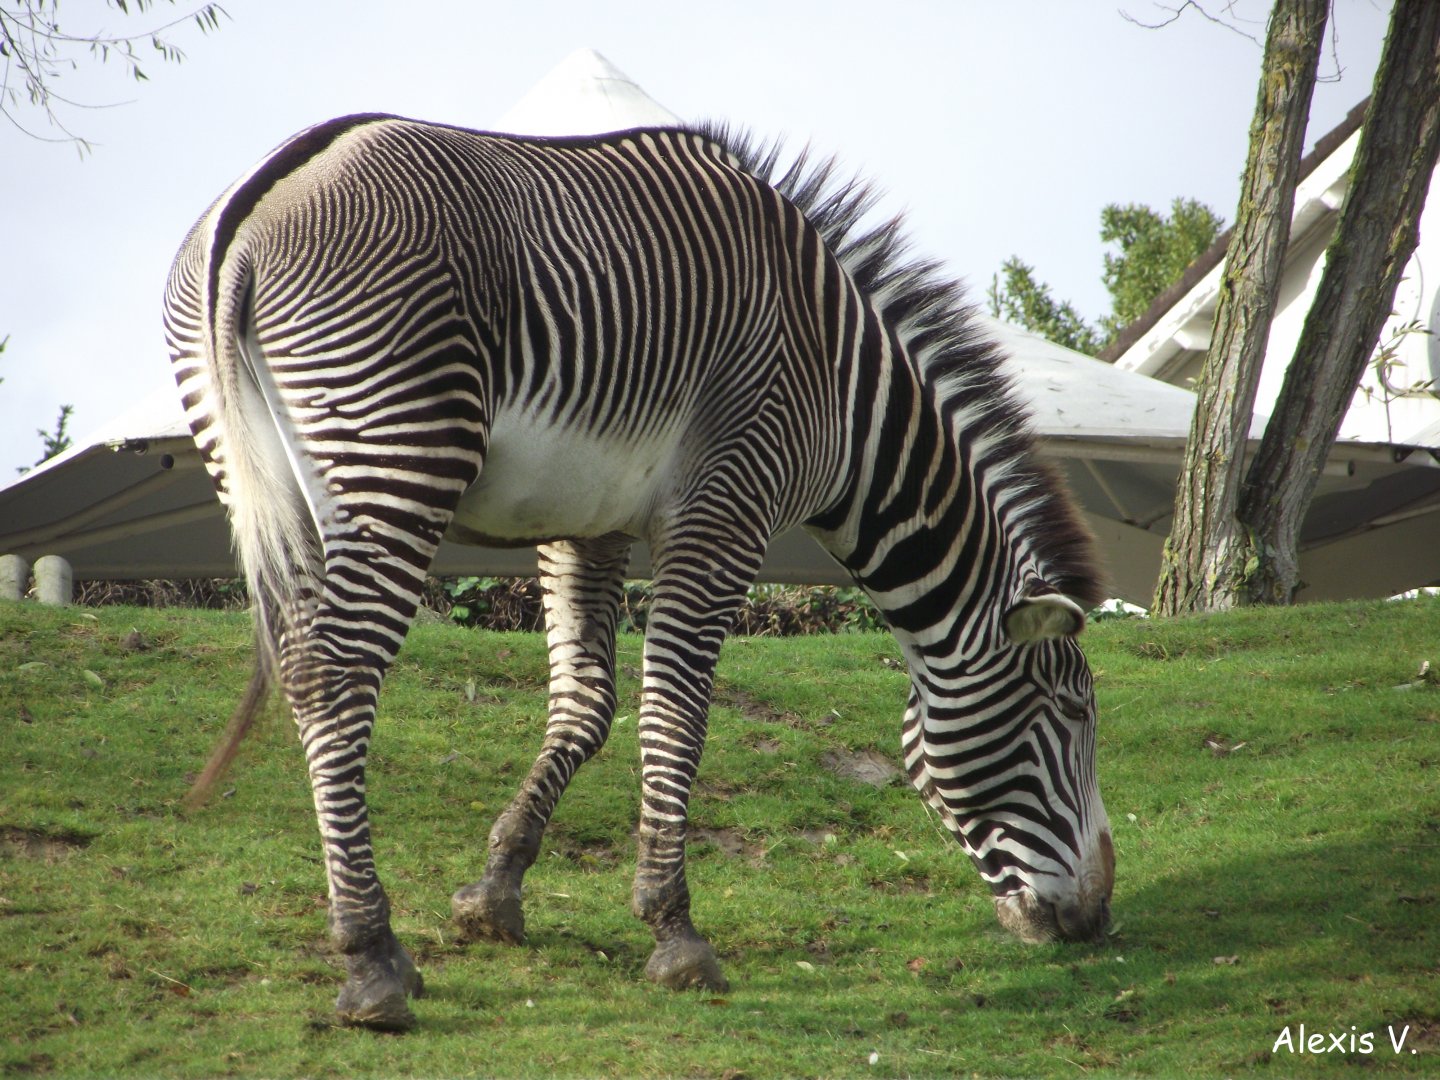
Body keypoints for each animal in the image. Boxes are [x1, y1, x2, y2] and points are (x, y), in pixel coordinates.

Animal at [165, 114, 1115, 1031]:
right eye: (1072, 712)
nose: (1099, 917)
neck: (847, 396)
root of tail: (253, 213)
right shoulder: (725, 508)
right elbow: (675, 715)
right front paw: (675, 932)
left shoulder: (585, 524)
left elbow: (587, 705)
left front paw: (494, 895)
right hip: (398, 458)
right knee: (334, 677)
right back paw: (371, 961)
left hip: (266, 479)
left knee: (302, 668)